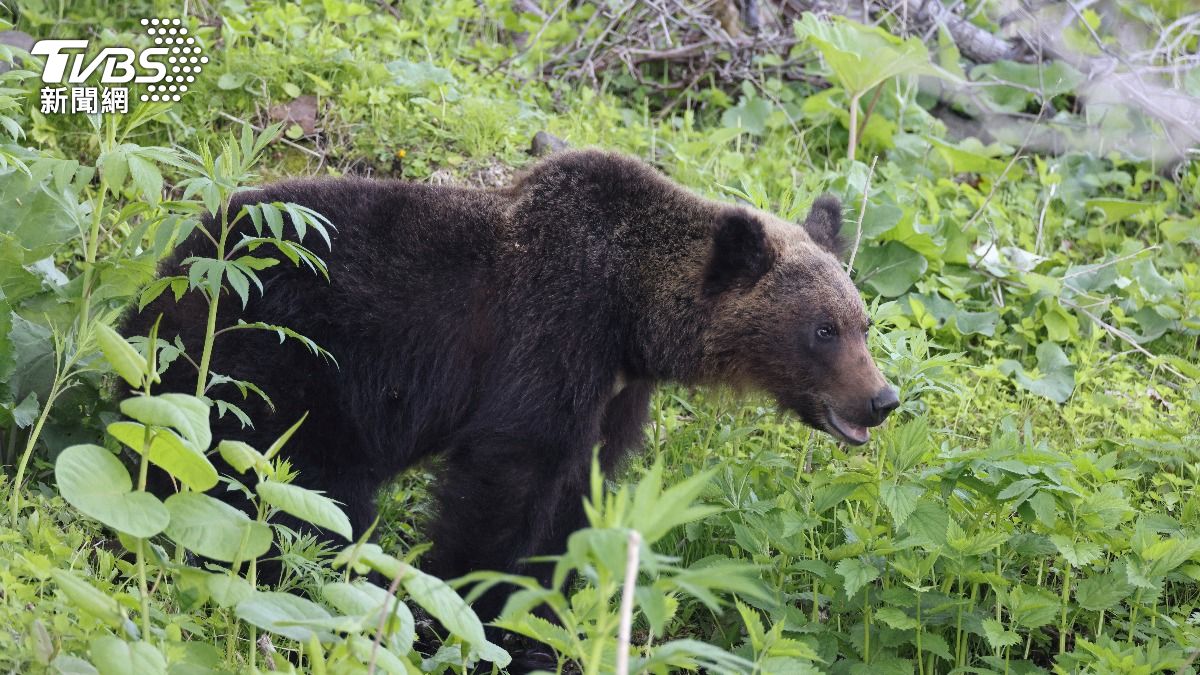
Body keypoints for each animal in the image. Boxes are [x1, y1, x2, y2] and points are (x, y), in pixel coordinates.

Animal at [123, 148, 897, 665]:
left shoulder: (613, 395)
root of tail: (174, 267)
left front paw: (541, 629)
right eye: (823, 329)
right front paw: (466, 616)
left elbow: (575, 497)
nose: (881, 398)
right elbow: (507, 479)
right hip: (276, 358)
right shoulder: (548, 333)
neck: (632, 318)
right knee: (287, 489)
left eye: (863, 323)